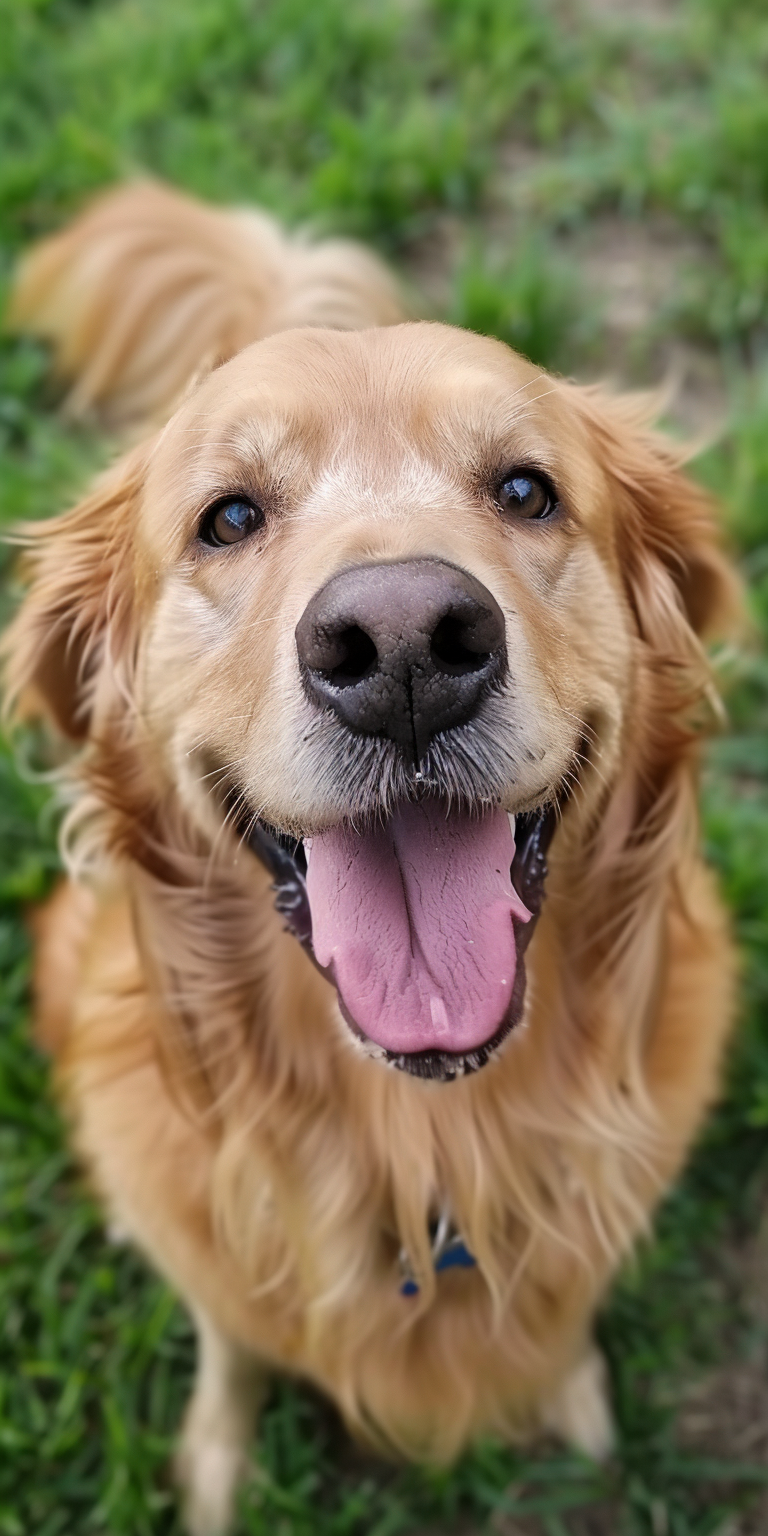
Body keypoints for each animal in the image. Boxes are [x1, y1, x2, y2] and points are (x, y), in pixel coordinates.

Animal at [4, 182, 737, 1536]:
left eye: (527, 490)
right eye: (229, 519)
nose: (403, 647)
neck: (420, 1140)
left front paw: (574, 1399)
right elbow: (232, 1337)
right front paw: (215, 1468)